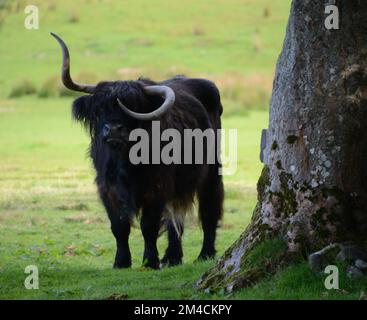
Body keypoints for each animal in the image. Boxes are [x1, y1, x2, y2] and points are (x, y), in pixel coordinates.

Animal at [51, 33, 224, 268]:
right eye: (99, 108)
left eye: (134, 107)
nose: (114, 129)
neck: (126, 160)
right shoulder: (107, 188)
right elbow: (119, 226)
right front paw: (121, 262)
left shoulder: (157, 186)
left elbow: (148, 226)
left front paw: (150, 262)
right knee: (175, 216)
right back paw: (172, 257)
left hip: (211, 172)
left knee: (208, 210)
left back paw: (204, 254)